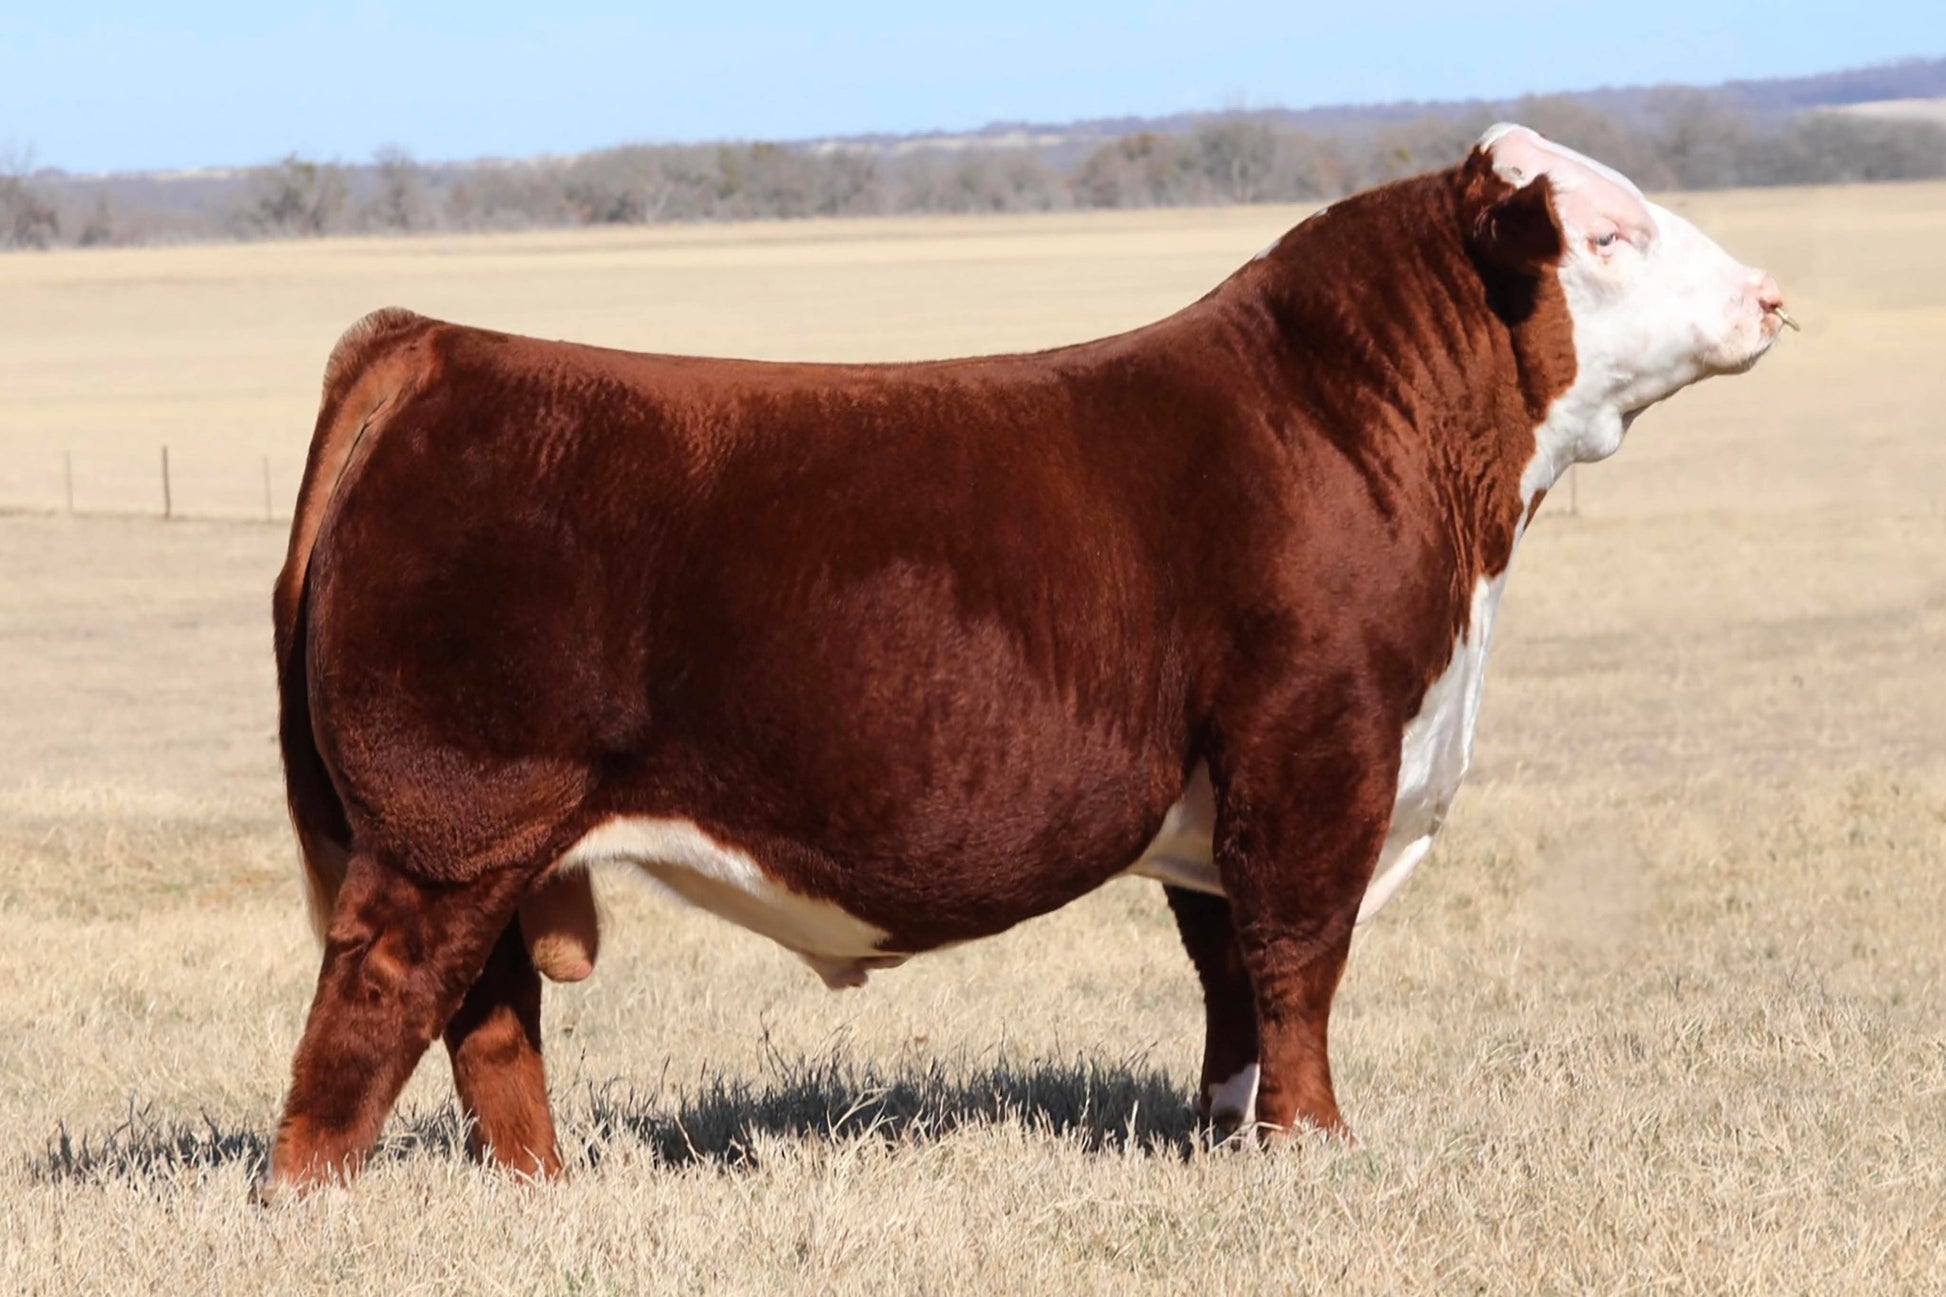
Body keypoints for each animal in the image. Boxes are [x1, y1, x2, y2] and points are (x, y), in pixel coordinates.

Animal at [260, 124, 1789, 1197]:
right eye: (1607, 232)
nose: (1769, 294)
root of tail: (438, 346)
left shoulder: (1224, 795)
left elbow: (1228, 975)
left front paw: (1226, 1135)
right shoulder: (1314, 748)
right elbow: (1298, 959)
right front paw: (1314, 1144)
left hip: (491, 841)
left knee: (488, 1010)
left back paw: (542, 1188)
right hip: (454, 817)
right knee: (383, 991)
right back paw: (317, 1199)